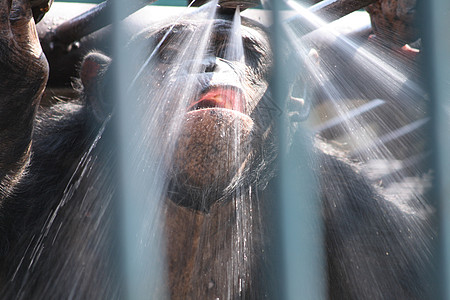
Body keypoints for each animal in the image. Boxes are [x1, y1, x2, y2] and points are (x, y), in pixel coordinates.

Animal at [0, 0, 434, 300]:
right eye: (170, 50)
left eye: (240, 51)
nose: (207, 63)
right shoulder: (51, 158)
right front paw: (14, 55)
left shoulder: (360, 210)